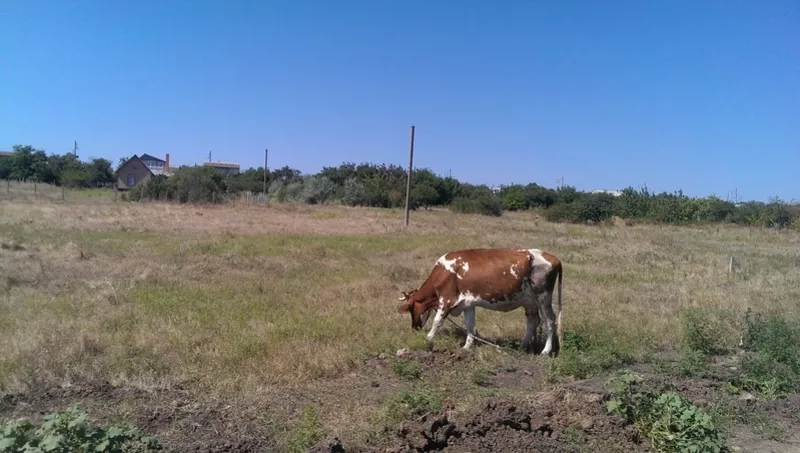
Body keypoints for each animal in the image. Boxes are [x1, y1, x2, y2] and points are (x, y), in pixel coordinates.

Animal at [398, 245, 564, 354]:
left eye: (411, 308)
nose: (414, 328)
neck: (443, 272)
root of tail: (553, 257)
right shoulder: (467, 303)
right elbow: (470, 325)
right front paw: (467, 346)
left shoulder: (447, 299)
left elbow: (437, 321)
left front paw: (428, 340)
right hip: (529, 302)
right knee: (533, 322)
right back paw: (522, 347)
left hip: (543, 297)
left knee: (550, 320)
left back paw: (546, 351)